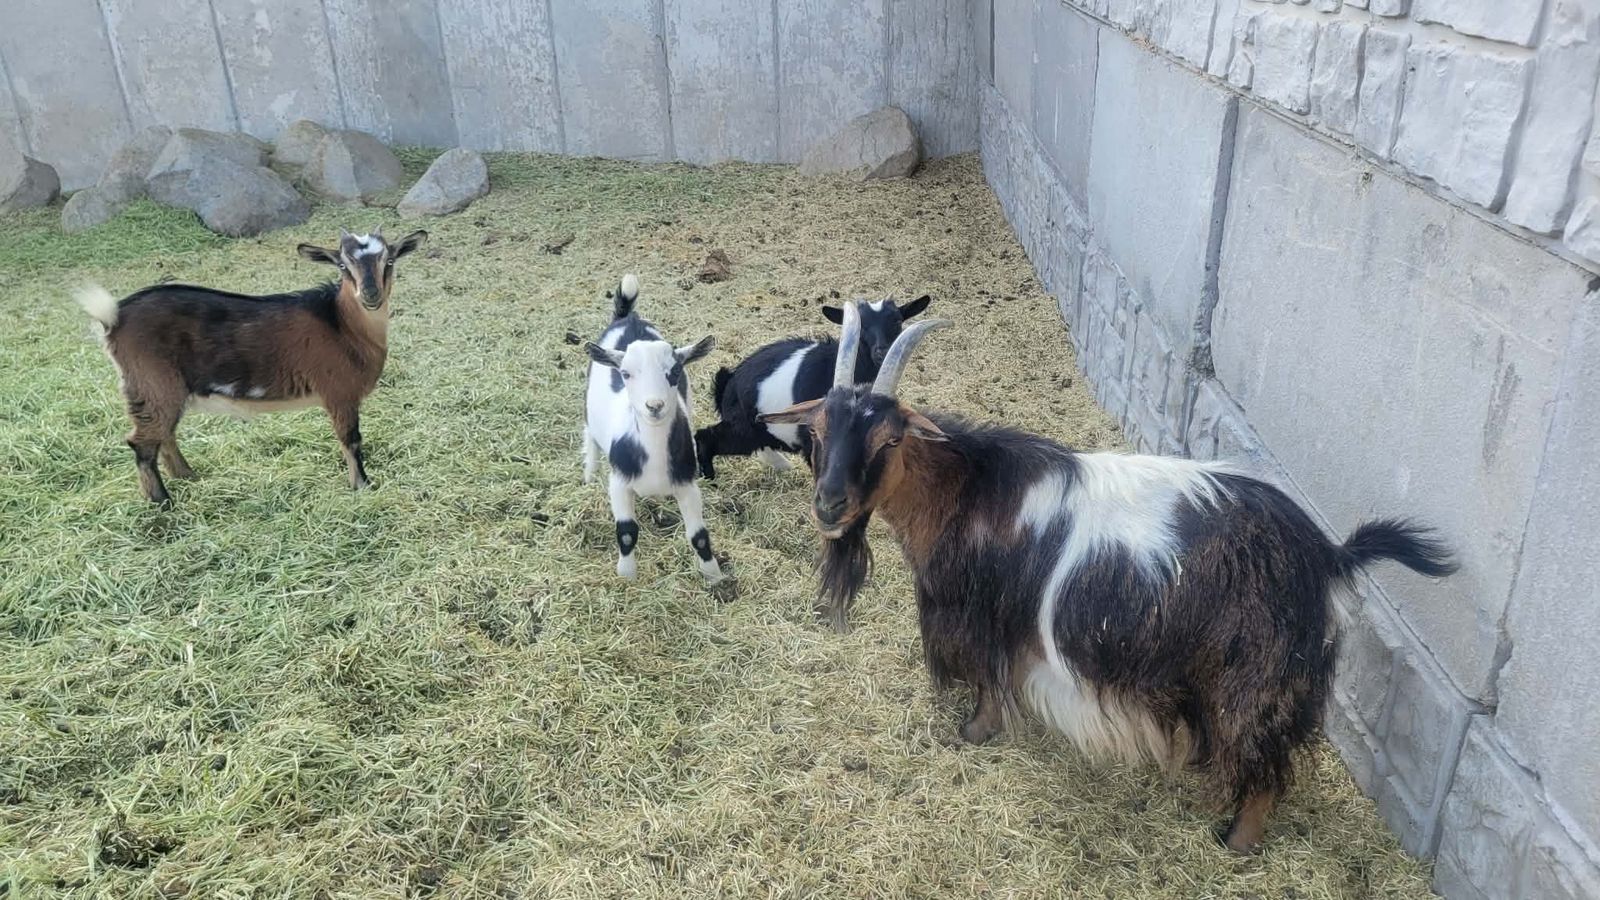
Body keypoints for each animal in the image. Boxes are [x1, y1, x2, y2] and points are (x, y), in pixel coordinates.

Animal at [76, 228, 428, 503]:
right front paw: (363, 487)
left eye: (390, 261)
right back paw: (163, 503)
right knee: (143, 443)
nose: (370, 294)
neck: (341, 324)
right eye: (342, 265)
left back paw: (189, 477)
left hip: (162, 390)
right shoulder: (339, 393)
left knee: (164, 434)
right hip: (153, 382)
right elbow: (351, 440)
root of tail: (114, 316)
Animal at [583, 275, 724, 583]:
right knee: (589, 436)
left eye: (675, 372)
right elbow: (626, 533)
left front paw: (714, 576)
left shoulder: (687, 484)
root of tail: (628, 318)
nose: (654, 405)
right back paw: (588, 474)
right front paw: (626, 576)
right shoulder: (619, 483)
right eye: (625, 374)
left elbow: (699, 535)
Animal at [694, 295, 930, 480]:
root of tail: (727, 383)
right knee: (706, 436)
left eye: (897, 321)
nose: (881, 351)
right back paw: (709, 478)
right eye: (862, 326)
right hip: (743, 429)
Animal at [759, 304, 1457, 853]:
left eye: (889, 439)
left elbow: (988, 681)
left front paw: (974, 734)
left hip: (1255, 679)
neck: (969, 491)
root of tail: (1328, 556)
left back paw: (1235, 841)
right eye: (818, 430)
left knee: (1263, 766)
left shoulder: (986, 617)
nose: (829, 506)